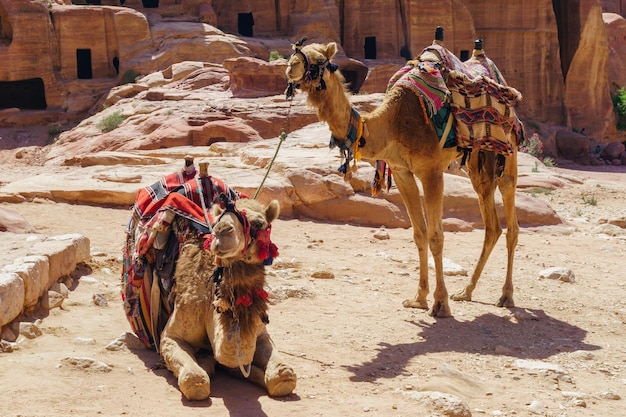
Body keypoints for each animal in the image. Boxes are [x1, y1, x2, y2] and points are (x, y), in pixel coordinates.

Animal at [157, 198, 296, 400]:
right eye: (216, 222)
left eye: (259, 223)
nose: (222, 231)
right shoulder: (172, 334)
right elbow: (195, 379)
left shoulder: (262, 334)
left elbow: (283, 375)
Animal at [286, 40, 520, 316]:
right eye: (295, 53)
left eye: (320, 59)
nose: (291, 66)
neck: (392, 124)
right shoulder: (401, 173)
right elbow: (419, 233)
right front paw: (419, 298)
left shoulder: (431, 171)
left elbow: (436, 236)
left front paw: (440, 304)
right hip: (477, 159)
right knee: (491, 224)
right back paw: (467, 291)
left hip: (508, 148)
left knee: (511, 218)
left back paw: (506, 295)